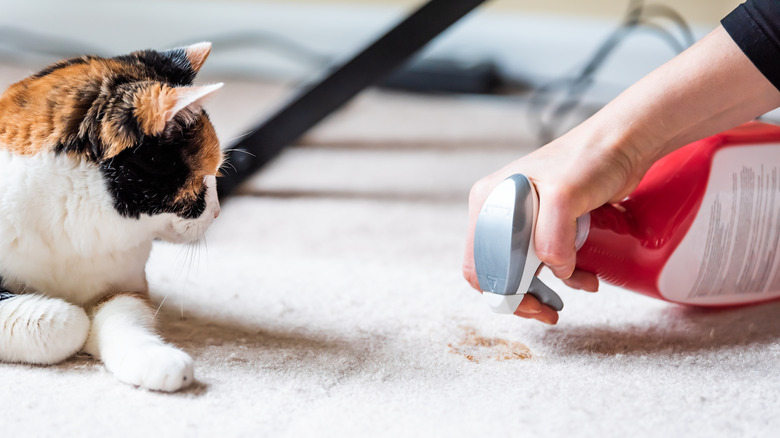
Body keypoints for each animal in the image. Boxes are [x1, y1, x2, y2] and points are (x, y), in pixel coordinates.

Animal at [0, 42, 222, 392]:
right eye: (203, 178)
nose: (217, 211)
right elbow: (67, 322)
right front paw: (74, 320)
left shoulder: (125, 285)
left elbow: (124, 317)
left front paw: (159, 361)